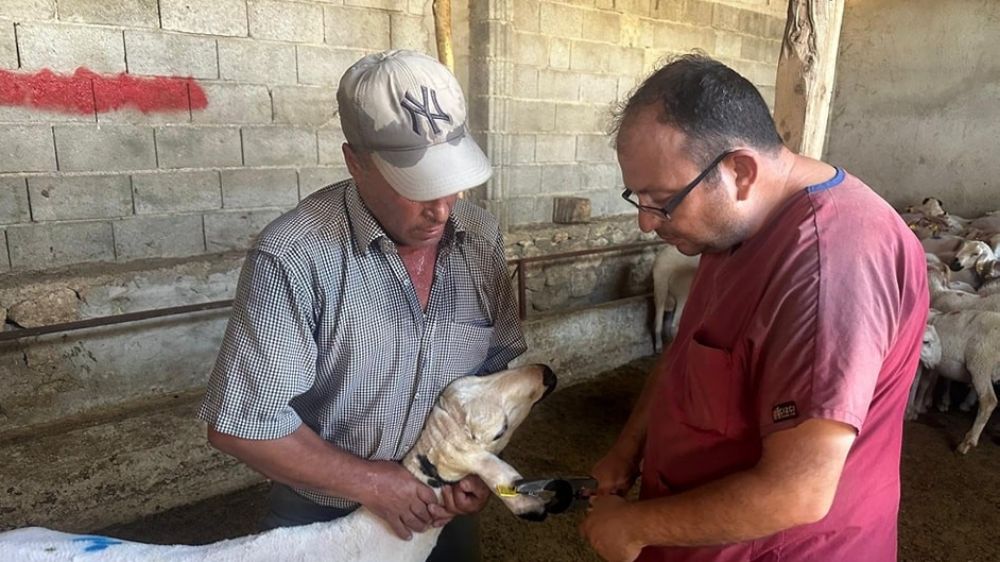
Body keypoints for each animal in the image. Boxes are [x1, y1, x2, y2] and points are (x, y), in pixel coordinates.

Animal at [920, 308, 1000, 452]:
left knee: (988, 401)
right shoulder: (933, 366)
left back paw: (967, 443)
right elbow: (932, 382)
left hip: (980, 363)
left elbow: (925, 383)